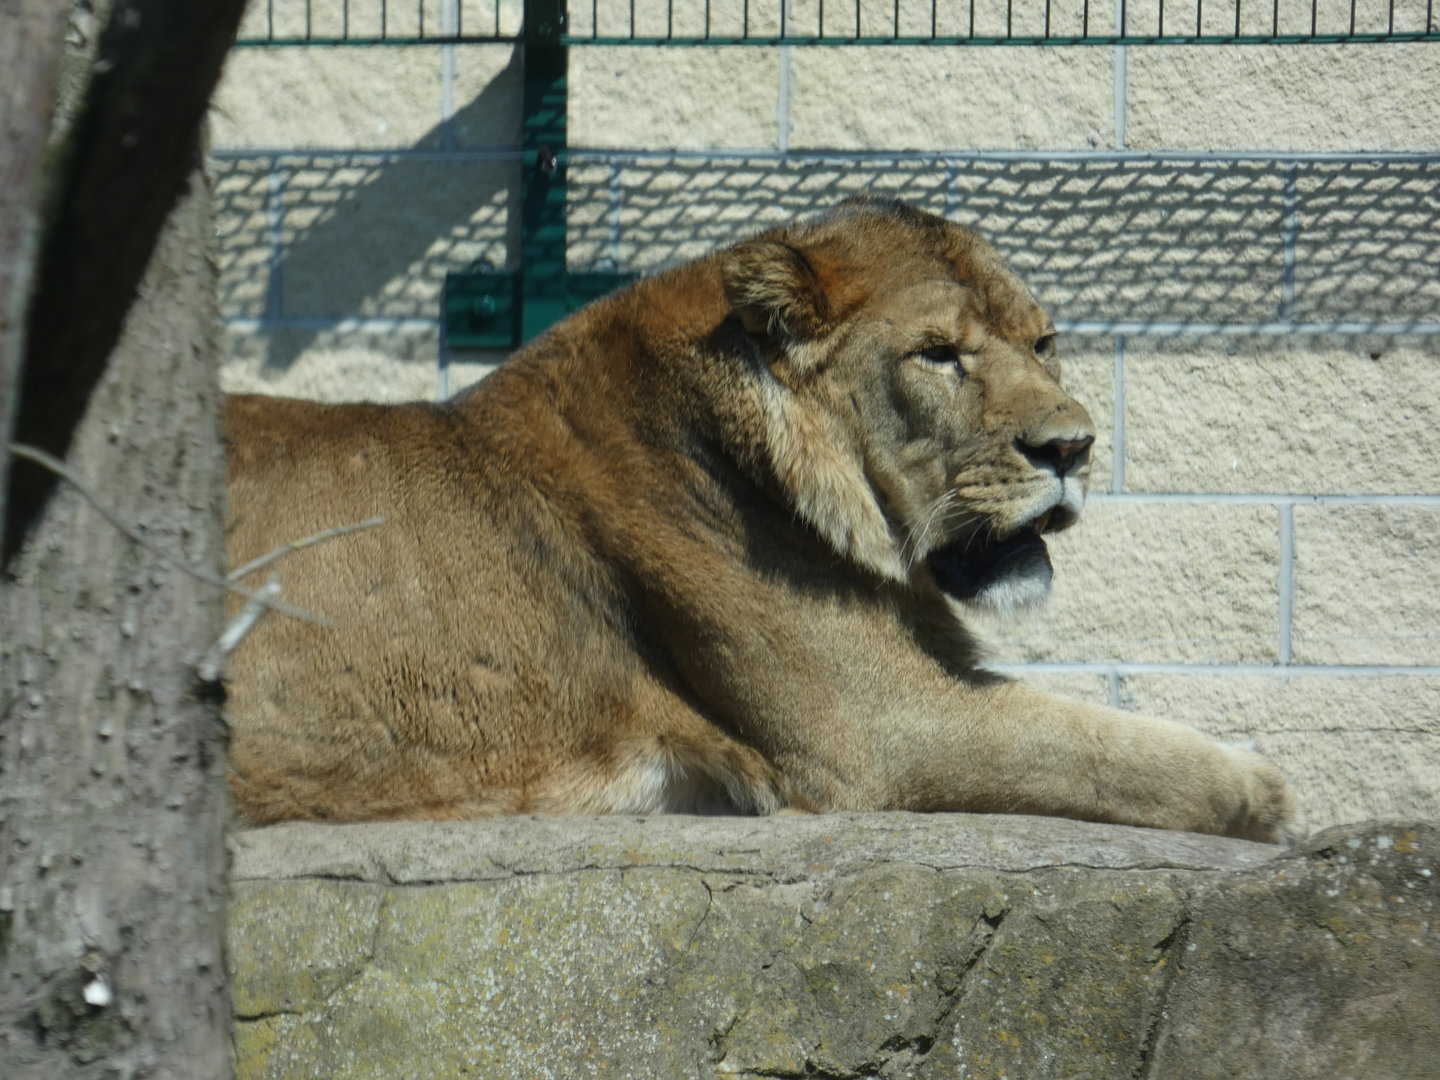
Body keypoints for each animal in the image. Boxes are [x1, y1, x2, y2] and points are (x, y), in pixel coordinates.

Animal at [225, 198, 1297, 842]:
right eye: (939, 355)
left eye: (1044, 344)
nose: (1073, 448)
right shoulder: (875, 732)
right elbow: (1097, 745)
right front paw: (1268, 794)